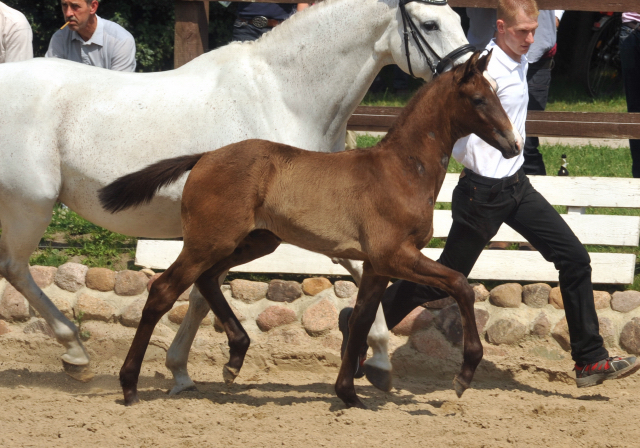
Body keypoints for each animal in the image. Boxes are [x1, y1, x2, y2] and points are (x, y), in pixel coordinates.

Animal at [100, 50, 520, 408]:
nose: (514, 144)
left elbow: (362, 319)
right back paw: (130, 385)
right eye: (479, 100)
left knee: (206, 281)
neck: (401, 169)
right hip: (209, 241)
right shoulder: (394, 255)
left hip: (254, 242)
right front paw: (464, 375)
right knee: (163, 291)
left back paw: (235, 356)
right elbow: (460, 284)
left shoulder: (376, 265)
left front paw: (349, 393)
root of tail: (205, 156)